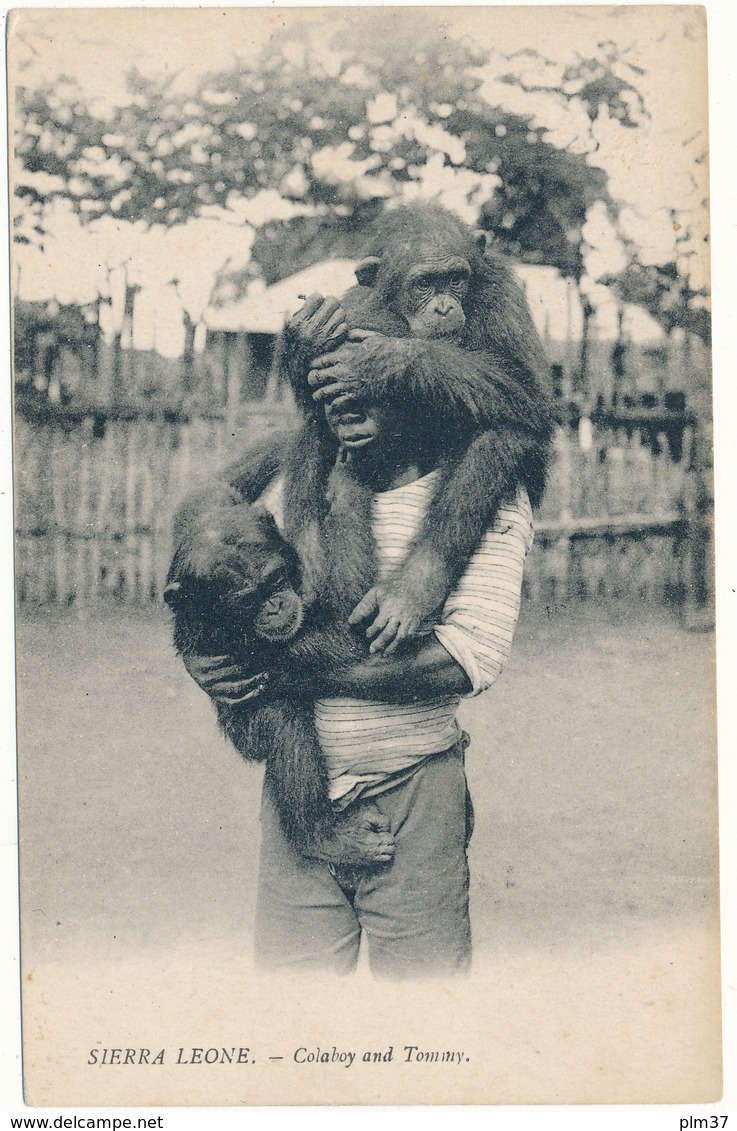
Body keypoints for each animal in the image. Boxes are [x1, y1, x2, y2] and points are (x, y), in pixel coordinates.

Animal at [165, 495, 397, 864]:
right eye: (248, 599)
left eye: (274, 580)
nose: (273, 606)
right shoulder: (234, 642)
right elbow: (349, 625)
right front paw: (347, 488)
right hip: (247, 733)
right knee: (284, 725)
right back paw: (321, 836)